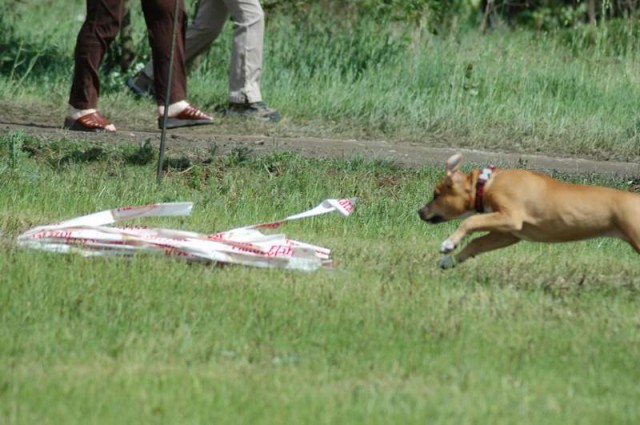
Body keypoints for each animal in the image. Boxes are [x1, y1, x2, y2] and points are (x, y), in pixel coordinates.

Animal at [420, 153, 640, 268]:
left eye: (436, 194)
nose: (419, 211)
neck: (487, 183)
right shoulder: (508, 234)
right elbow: (477, 243)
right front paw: (449, 261)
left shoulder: (510, 217)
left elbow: (470, 221)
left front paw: (448, 244)